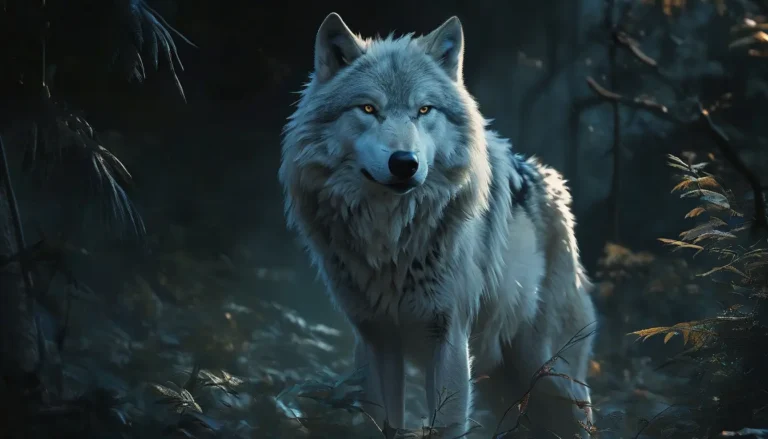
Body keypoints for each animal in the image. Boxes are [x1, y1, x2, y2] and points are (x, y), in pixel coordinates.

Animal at [279, 12, 597, 438]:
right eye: (368, 108)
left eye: (425, 110)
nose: (404, 162)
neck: (391, 240)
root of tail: (553, 185)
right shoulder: (376, 339)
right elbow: (383, 422)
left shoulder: (449, 337)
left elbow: (447, 425)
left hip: (550, 375)